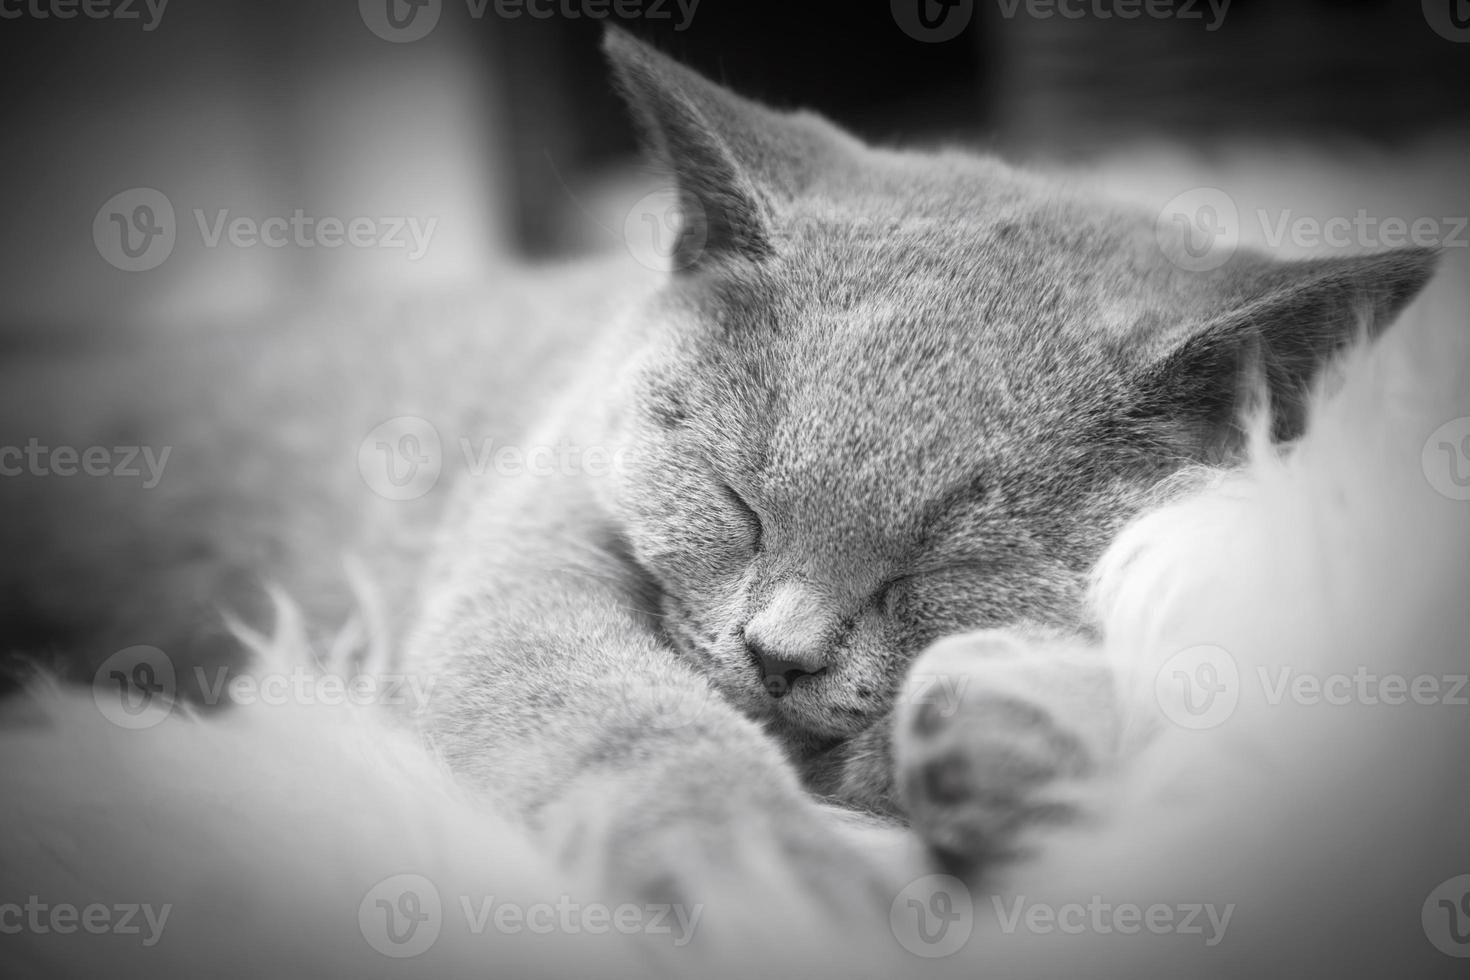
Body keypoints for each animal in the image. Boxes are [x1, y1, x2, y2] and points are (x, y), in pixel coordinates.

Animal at [405, 22, 1434, 899]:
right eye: (739, 504)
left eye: (938, 570)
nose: (777, 655)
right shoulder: (533, 568)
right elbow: (639, 735)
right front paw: (777, 884)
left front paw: (996, 737)